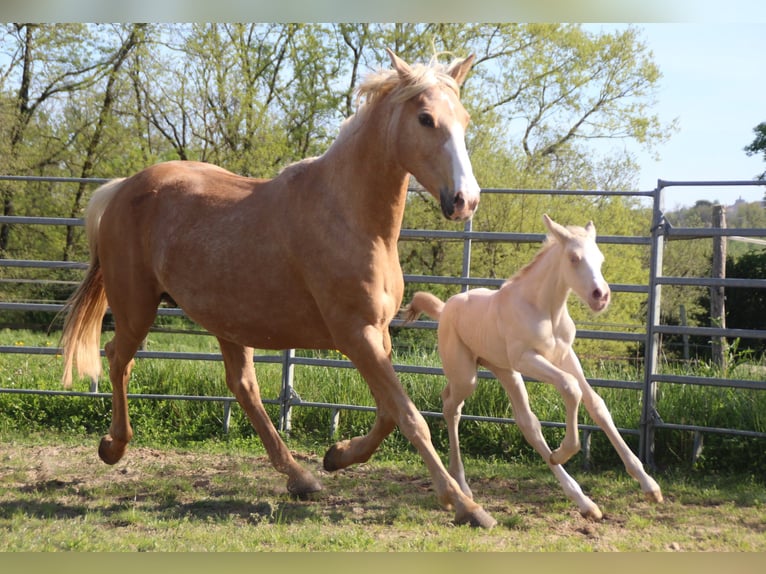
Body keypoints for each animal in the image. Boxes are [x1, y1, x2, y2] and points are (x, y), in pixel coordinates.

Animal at [61, 49, 498, 532]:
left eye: (464, 119)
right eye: (425, 118)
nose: (465, 200)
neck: (350, 216)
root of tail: (123, 188)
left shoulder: (379, 334)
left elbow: (387, 412)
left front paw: (336, 455)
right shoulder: (356, 335)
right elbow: (409, 416)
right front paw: (465, 505)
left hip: (226, 321)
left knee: (242, 387)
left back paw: (301, 477)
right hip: (136, 306)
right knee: (118, 358)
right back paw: (113, 447)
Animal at [404, 215, 664, 520]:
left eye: (600, 258)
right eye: (574, 258)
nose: (601, 296)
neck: (545, 309)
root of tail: (445, 308)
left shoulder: (565, 356)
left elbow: (596, 405)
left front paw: (649, 485)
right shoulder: (527, 358)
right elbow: (570, 387)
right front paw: (564, 450)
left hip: (505, 371)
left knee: (527, 423)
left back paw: (583, 501)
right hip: (467, 375)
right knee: (451, 407)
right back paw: (463, 486)